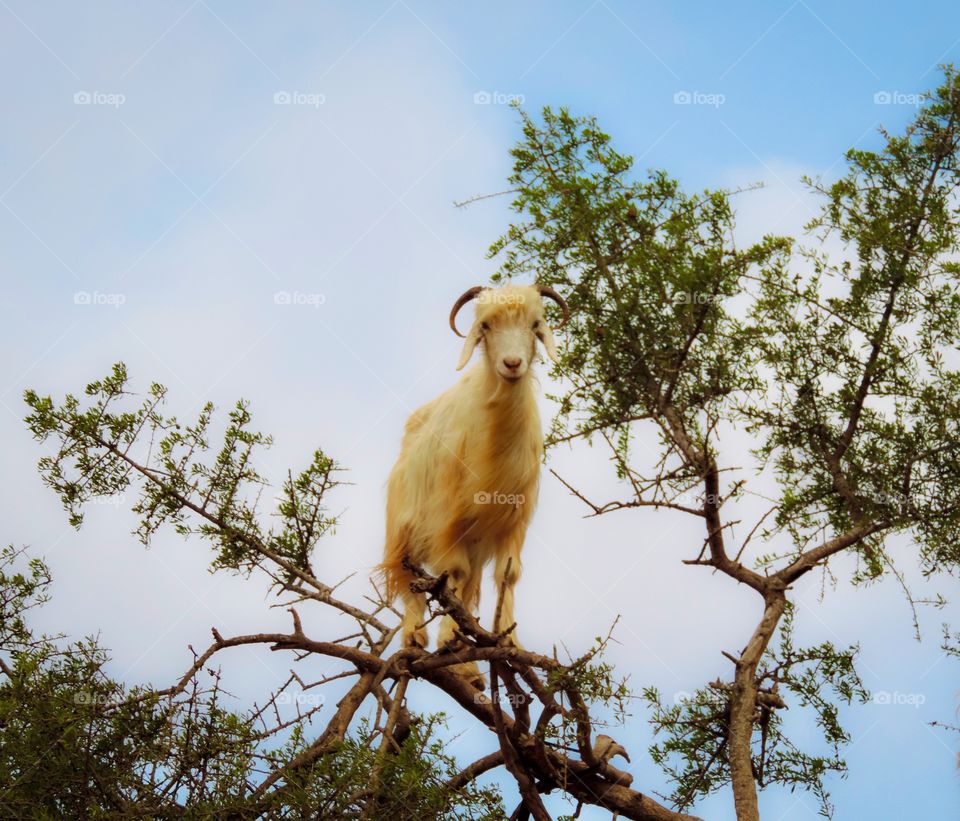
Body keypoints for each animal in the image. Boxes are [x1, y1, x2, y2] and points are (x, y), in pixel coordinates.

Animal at [378, 283, 568, 686]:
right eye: (485, 326)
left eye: (535, 325)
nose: (512, 364)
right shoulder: (448, 519)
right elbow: (453, 574)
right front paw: (448, 640)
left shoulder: (512, 521)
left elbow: (508, 574)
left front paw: (508, 639)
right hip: (404, 526)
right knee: (412, 578)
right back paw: (416, 637)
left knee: (466, 588)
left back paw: (470, 669)